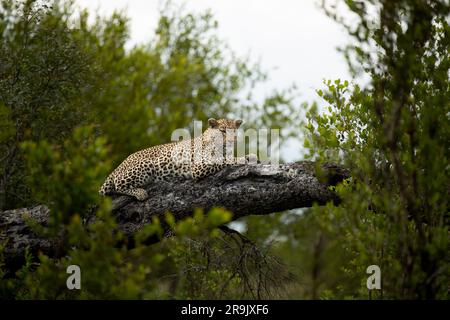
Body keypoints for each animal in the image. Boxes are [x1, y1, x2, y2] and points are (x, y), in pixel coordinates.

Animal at [100, 118, 258, 200]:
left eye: (234, 131)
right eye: (223, 131)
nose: (232, 140)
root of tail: (118, 167)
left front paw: (249, 155)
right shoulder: (199, 167)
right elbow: (224, 159)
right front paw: (243, 158)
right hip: (143, 166)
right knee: (118, 185)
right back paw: (140, 193)